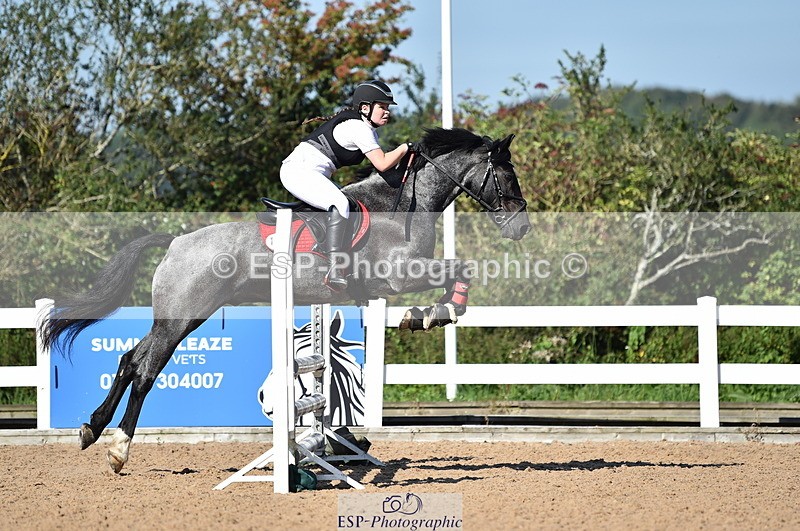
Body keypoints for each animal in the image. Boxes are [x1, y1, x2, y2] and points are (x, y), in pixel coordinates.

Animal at [40, 127, 531, 473]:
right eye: (506, 175)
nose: (521, 227)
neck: (402, 205)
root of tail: (176, 242)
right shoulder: (397, 277)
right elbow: (459, 269)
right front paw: (431, 315)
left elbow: (458, 271)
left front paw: (428, 315)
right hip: (182, 319)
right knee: (145, 372)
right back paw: (119, 450)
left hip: (172, 318)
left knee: (128, 360)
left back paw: (90, 429)